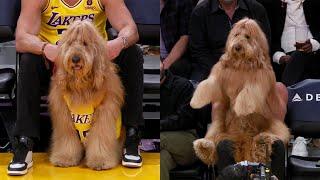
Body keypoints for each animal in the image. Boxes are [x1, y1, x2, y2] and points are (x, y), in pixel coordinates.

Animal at [48, 21, 124, 170]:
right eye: (71, 43)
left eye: (85, 43)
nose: (75, 58)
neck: (81, 84)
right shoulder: (64, 116)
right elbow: (67, 139)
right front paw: (64, 158)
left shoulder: (104, 114)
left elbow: (100, 138)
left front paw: (100, 160)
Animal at [190, 17, 290, 165]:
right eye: (236, 34)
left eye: (247, 36)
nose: (237, 47)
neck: (241, 63)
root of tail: (243, 140)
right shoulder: (220, 74)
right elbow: (208, 83)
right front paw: (196, 100)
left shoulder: (259, 79)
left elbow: (249, 91)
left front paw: (242, 107)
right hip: (221, 126)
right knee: (215, 136)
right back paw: (205, 146)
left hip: (274, 124)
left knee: (273, 136)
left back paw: (261, 143)